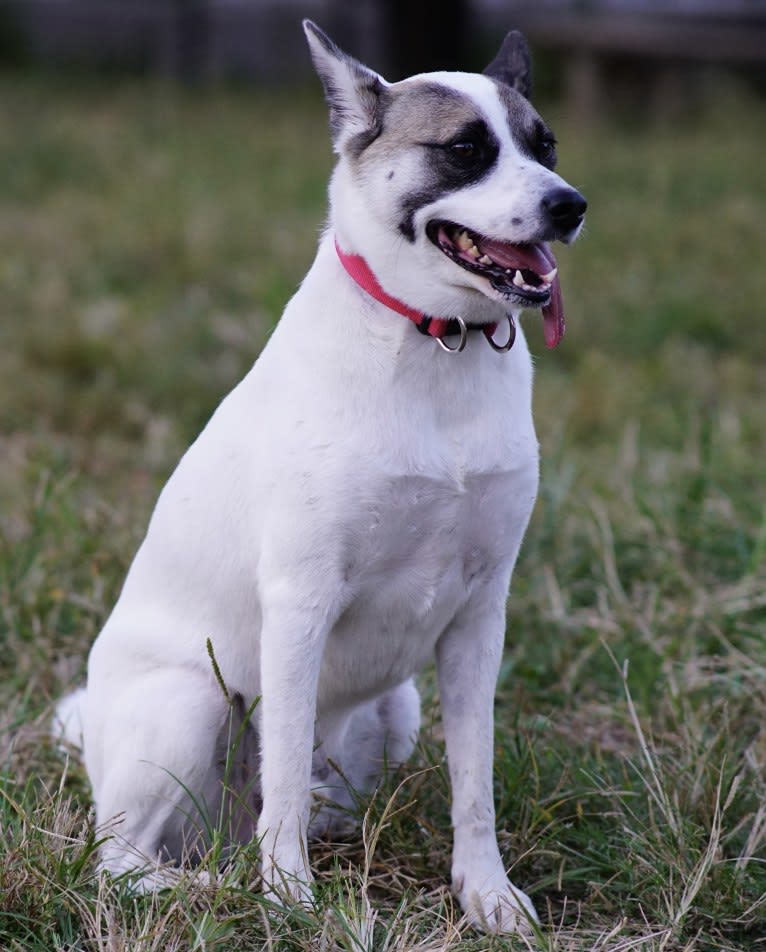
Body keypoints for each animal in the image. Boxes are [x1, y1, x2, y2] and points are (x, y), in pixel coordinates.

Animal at [55, 18, 588, 932]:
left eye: (544, 143)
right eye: (464, 149)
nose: (571, 205)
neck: (432, 341)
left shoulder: (481, 613)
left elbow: (474, 782)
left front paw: (487, 895)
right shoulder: (300, 601)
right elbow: (283, 791)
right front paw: (291, 901)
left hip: (398, 707)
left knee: (292, 801)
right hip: (194, 700)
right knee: (122, 863)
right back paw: (219, 887)